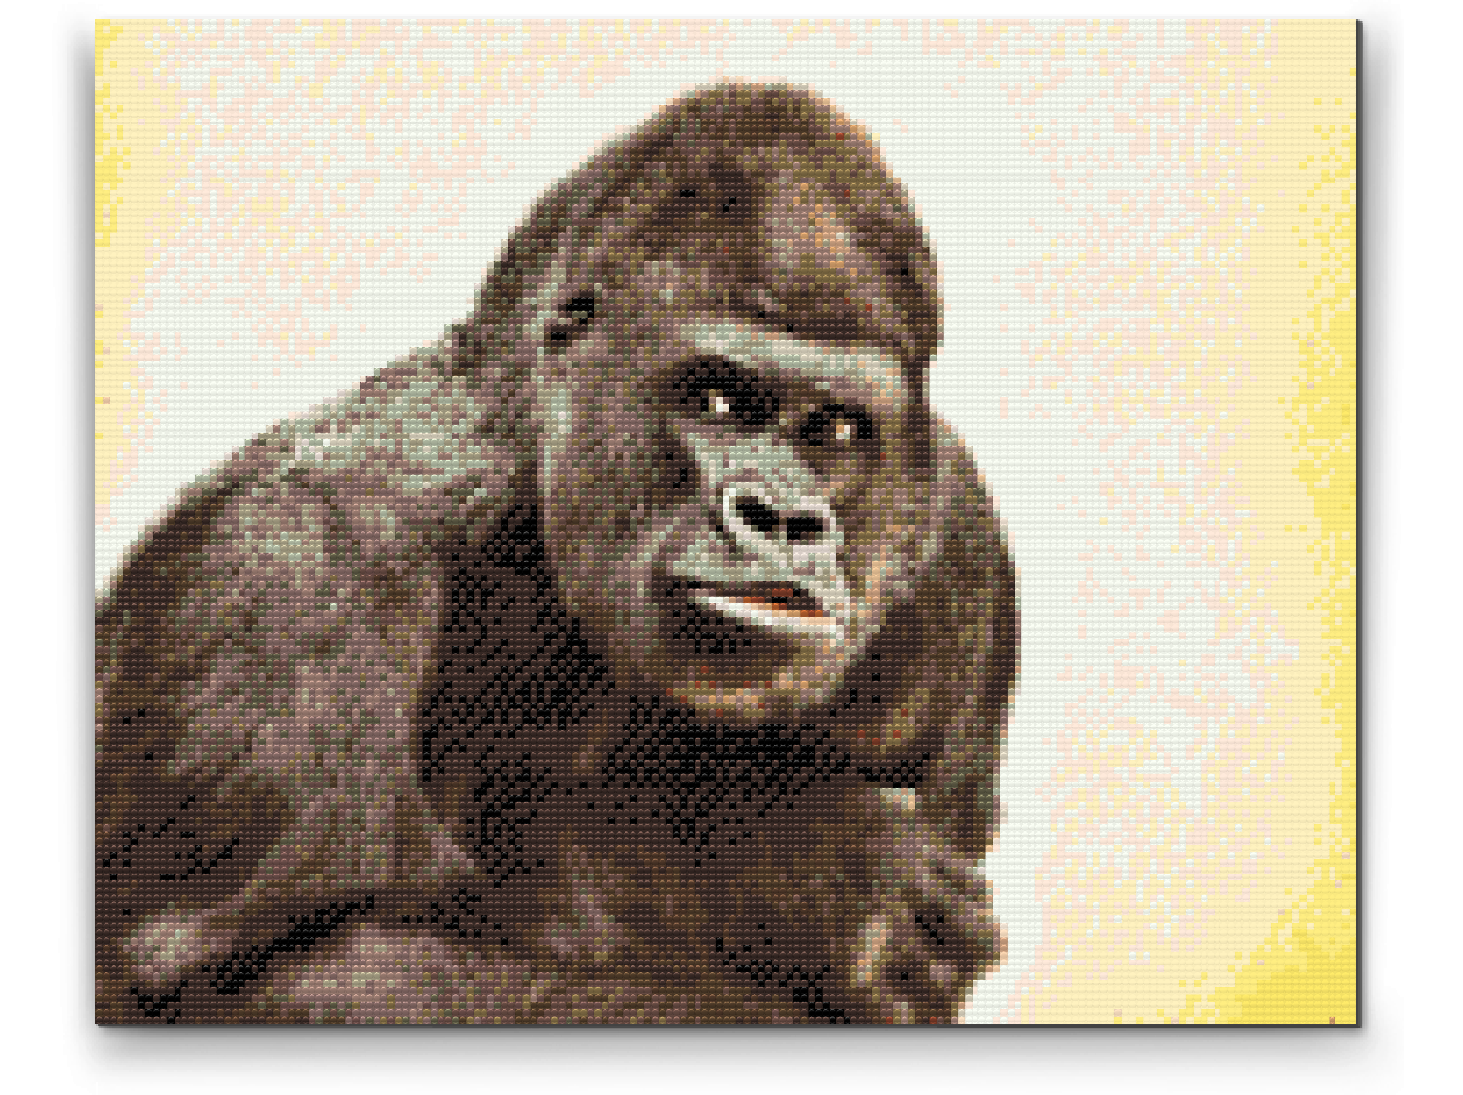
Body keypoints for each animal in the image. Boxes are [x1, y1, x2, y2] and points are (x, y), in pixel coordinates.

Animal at [95, 83, 1017, 1024]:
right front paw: (791, 861)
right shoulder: (285, 560)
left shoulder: (959, 540)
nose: (784, 518)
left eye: (832, 429)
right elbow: (258, 971)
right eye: (716, 400)